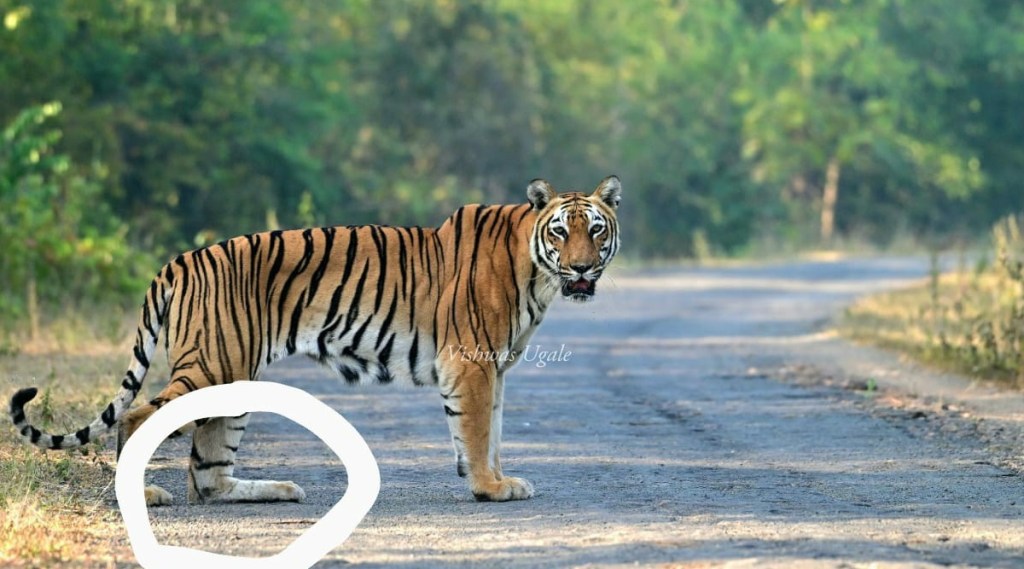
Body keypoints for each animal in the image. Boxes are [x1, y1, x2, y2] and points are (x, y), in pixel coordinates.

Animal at [9, 176, 621, 505]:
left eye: (597, 230)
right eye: (561, 232)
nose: (582, 269)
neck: (538, 273)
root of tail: (179, 259)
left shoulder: (495, 367)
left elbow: (490, 431)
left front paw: (496, 479)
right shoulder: (471, 363)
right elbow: (474, 433)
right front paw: (489, 488)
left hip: (234, 379)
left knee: (208, 476)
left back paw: (278, 490)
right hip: (213, 364)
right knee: (140, 418)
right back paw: (142, 494)